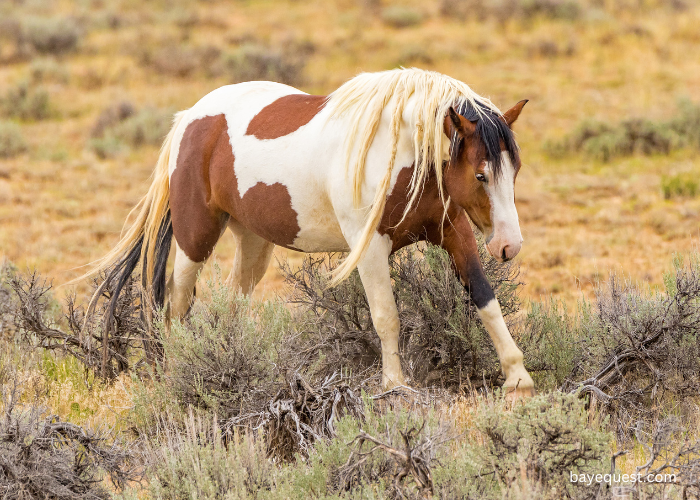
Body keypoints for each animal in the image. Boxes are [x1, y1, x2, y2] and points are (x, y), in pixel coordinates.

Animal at [87, 67, 536, 394]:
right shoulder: (370, 247)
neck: (400, 152)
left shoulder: (454, 232)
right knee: (176, 306)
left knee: (231, 304)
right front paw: (395, 385)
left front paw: (517, 377)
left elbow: (485, 298)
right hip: (195, 237)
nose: (510, 245)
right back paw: (179, 371)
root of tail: (189, 120)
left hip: (253, 242)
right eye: (480, 175)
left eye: (514, 169)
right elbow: (386, 316)